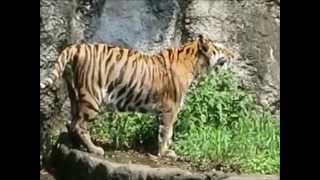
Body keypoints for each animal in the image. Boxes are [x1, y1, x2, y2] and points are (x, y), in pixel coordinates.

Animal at [39, 34, 235, 157]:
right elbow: (166, 132)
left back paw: (77, 146)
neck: (194, 61)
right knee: (80, 125)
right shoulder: (171, 108)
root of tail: (76, 46)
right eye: (221, 49)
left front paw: (167, 150)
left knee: (72, 122)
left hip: (74, 94)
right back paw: (95, 150)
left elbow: (166, 132)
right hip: (92, 97)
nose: (234, 54)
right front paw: (165, 153)